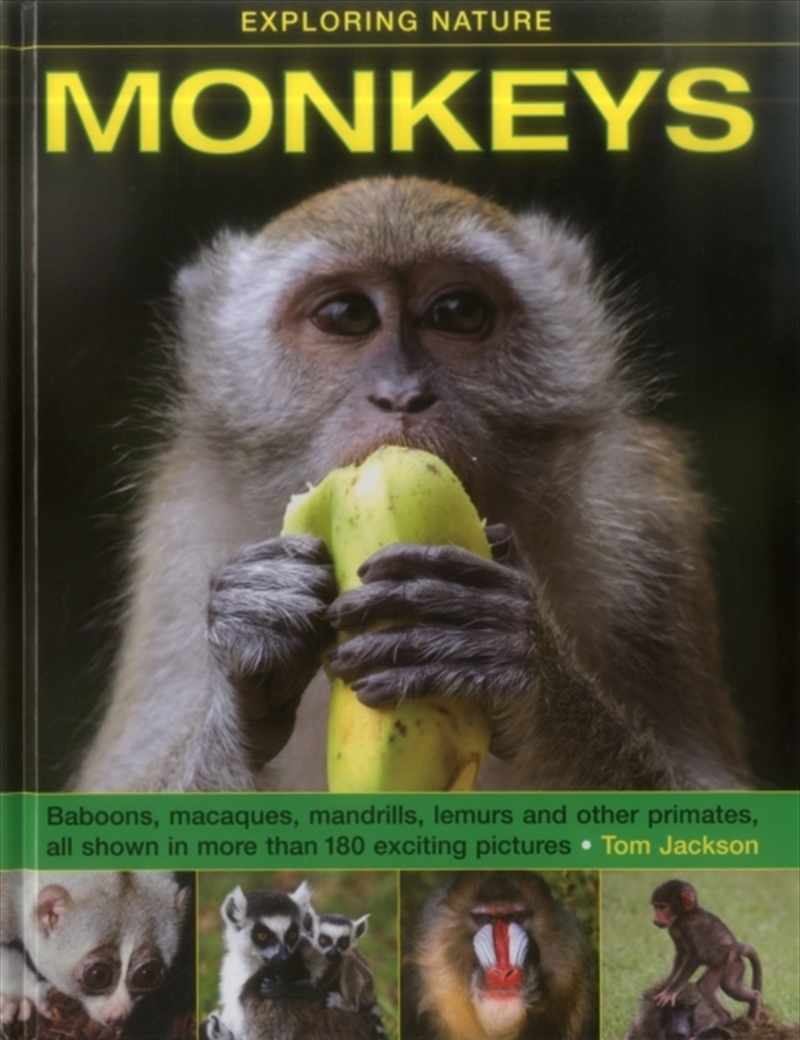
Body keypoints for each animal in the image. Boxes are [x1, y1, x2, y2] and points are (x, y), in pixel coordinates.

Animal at [69, 175, 751, 793]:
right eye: (346, 315)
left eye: (457, 313)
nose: (402, 395)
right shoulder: (177, 537)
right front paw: (250, 643)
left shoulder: (646, 516)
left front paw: (515, 654)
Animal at [651, 880, 763, 1024]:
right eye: (656, 907)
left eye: (662, 907)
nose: (654, 918)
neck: (684, 917)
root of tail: (737, 947)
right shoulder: (673, 930)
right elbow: (681, 954)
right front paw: (668, 982)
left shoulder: (691, 926)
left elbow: (696, 955)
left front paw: (670, 992)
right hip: (719, 964)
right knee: (704, 987)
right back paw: (725, 1020)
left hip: (733, 961)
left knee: (729, 985)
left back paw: (755, 999)